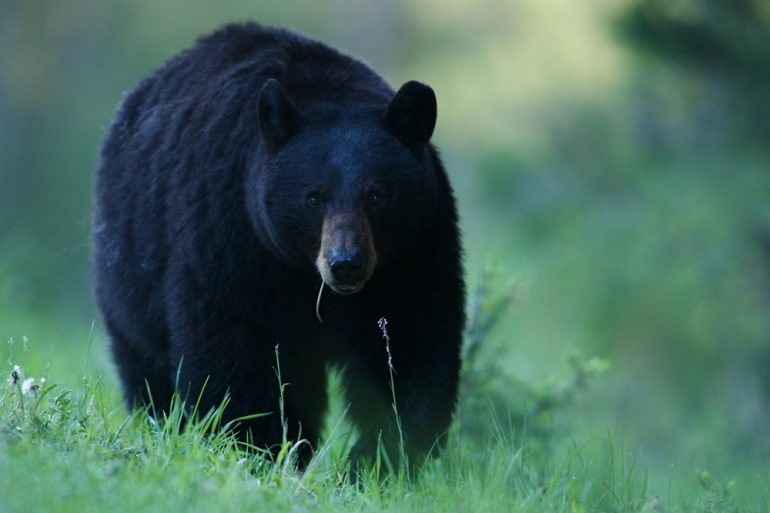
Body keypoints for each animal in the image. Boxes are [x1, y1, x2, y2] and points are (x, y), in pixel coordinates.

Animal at [93, 22, 464, 467]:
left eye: (376, 195)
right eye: (313, 197)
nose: (346, 263)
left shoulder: (413, 251)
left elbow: (409, 342)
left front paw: (379, 459)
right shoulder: (232, 234)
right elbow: (235, 347)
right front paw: (258, 447)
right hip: (129, 265)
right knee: (146, 363)